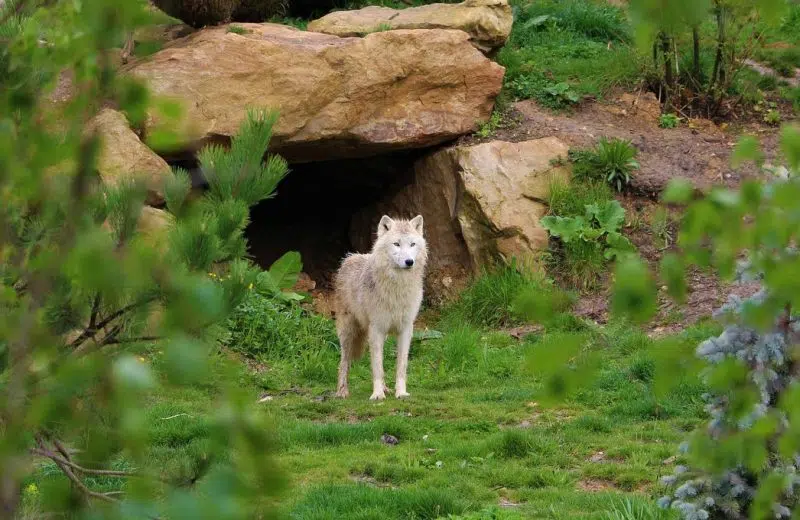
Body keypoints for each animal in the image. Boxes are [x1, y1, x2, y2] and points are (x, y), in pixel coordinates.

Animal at [332, 213, 428, 400]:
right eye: (396, 244)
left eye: (412, 244)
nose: (409, 262)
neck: (398, 286)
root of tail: (351, 257)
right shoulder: (376, 329)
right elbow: (377, 366)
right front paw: (377, 395)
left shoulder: (406, 329)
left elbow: (401, 366)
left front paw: (401, 392)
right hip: (349, 332)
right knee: (343, 362)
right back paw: (342, 391)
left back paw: (385, 389)